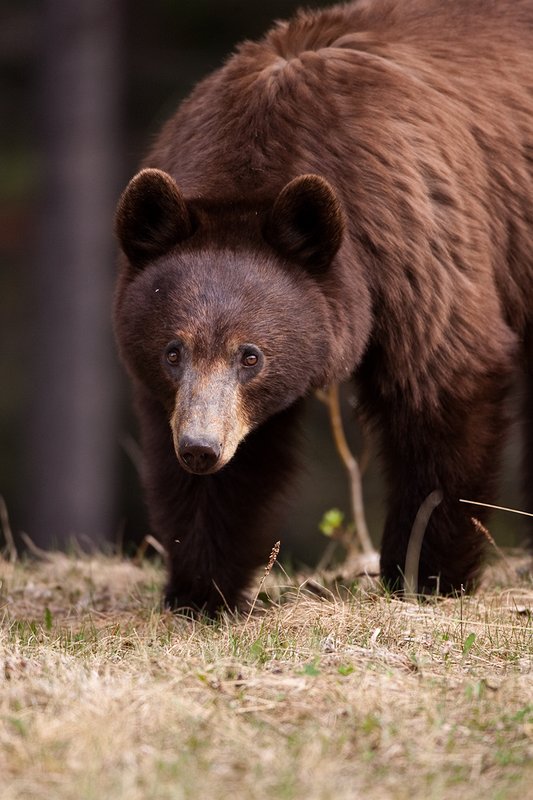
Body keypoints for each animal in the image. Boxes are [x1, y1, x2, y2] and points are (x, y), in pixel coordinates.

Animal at [114, 0, 533, 614]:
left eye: (251, 355)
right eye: (172, 351)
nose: (200, 448)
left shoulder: (415, 230)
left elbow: (444, 382)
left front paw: (423, 573)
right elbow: (222, 477)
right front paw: (200, 588)